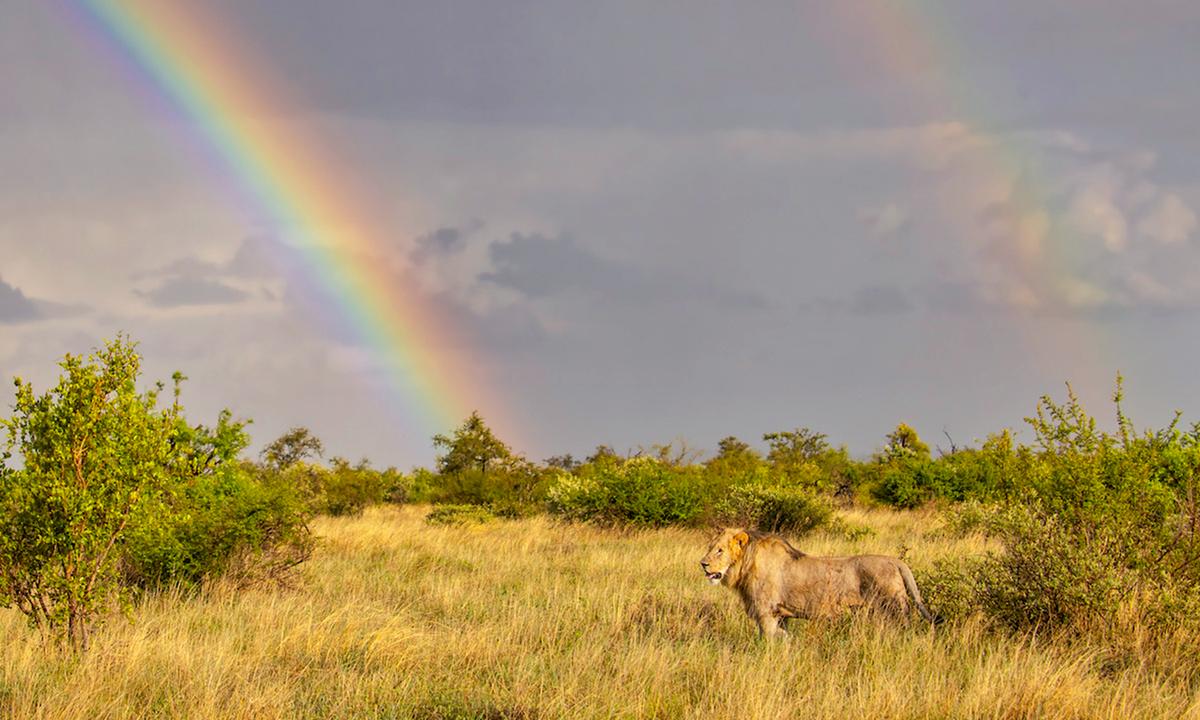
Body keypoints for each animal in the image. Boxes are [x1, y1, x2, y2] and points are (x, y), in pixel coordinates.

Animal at [700, 527, 933, 638]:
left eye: (719, 550)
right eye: (710, 547)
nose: (702, 564)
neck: (745, 565)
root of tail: (896, 561)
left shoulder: (766, 613)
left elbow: (766, 642)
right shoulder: (781, 615)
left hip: (893, 610)